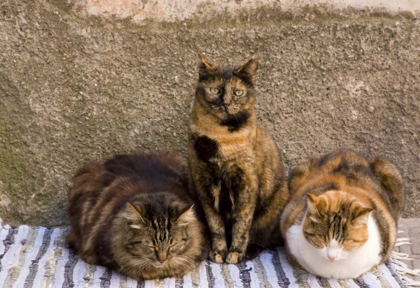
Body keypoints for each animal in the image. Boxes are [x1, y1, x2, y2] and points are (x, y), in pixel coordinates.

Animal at [187, 53, 288, 264]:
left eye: (238, 92)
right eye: (215, 90)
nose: (225, 103)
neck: (221, 136)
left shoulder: (246, 183)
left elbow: (242, 224)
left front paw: (235, 252)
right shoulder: (204, 184)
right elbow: (215, 224)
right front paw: (219, 251)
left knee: (263, 239)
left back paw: (248, 252)